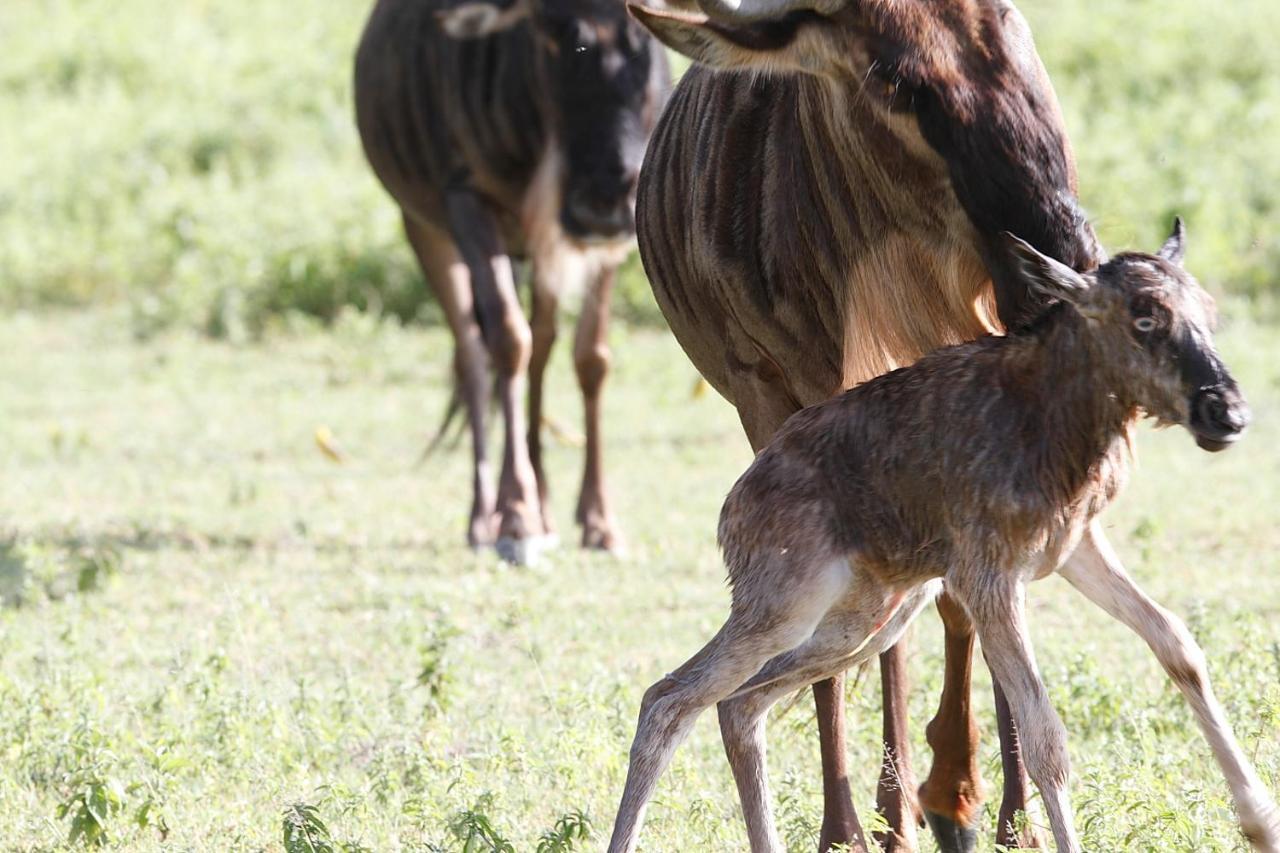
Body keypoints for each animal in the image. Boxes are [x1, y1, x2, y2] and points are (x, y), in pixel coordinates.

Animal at [604, 220, 1274, 850]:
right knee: (669, 697)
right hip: (784, 607)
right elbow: (1044, 737)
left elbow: (1178, 645)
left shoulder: (1075, 548)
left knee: (740, 704)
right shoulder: (988, 578)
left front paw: (1260, 821)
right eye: (1144, 318)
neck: (1050, 412)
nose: (1228, 413)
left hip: (867, 619)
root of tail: (734, 502)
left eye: (1206, 312)